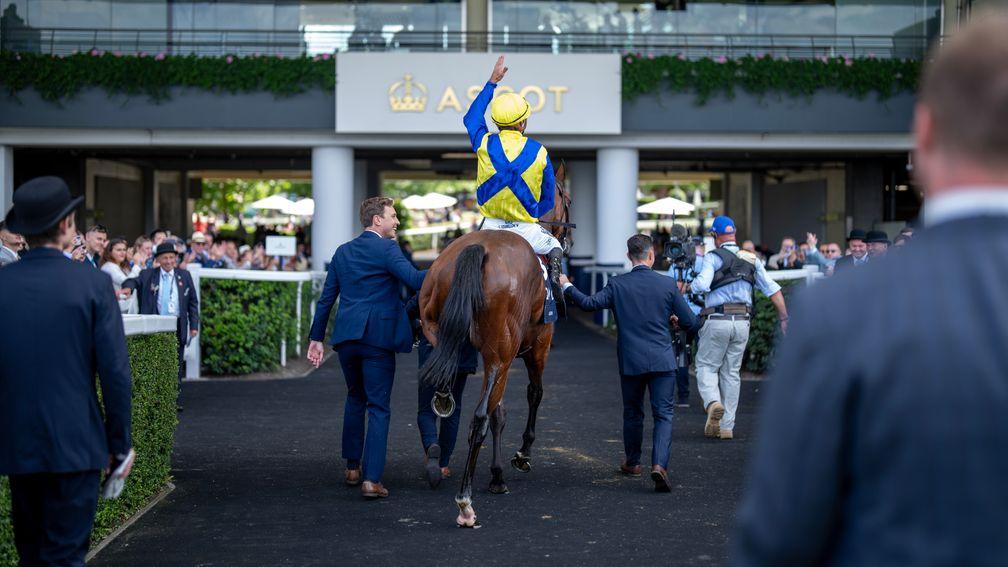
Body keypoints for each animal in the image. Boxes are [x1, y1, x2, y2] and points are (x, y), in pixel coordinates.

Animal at [419, 162, 576, 524]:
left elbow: (499, 412)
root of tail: (477, 250)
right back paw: (465, 502)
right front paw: (522, 454)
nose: (569, 239)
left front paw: (497, 475)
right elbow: (534, 394)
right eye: (567, 199)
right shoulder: (538, 347)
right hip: (503, 353)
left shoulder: (497, 357)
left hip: (441, 330)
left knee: (452, 385)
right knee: (478, 417)